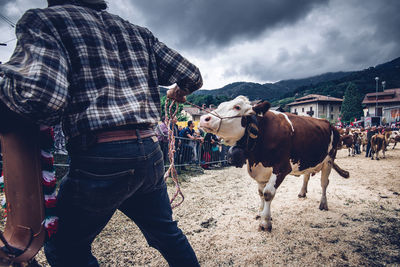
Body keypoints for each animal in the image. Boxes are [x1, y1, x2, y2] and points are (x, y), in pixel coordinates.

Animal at [198, 96, 348, 232]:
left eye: (237, 107)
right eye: (220, 105)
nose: (204, 119)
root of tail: (328, 123)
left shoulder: (281, 168)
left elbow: (268, 193)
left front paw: (265, 222)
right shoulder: (260, 170)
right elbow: (260, 193)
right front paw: (260, 213)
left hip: (329, 160)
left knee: (324, 183)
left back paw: (323, 204)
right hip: (307, 160)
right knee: (306, 176)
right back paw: (302, 192)